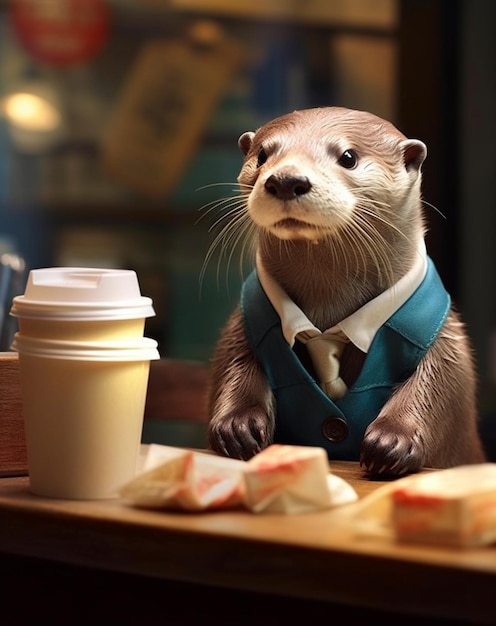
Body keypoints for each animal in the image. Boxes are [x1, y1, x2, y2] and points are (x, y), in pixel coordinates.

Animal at [204, 107, 484, 472]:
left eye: (348, 156)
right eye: (262, 155)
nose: (285, 180)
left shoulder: (446, 341)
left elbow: (437, 385)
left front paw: (393, 439)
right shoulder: (243, 326)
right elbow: (235, 363)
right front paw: (237, 425)